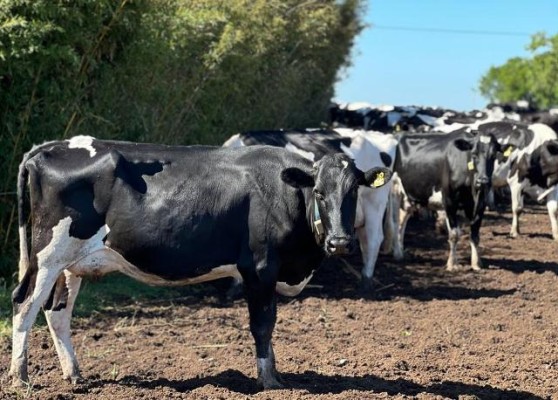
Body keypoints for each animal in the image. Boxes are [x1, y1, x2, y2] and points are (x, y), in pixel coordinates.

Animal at [392, 131, 506, 272]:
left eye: (493, 155)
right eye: (474, 154)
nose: (483, 180)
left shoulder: (480, 204)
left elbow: (475, 235)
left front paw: (476, 263)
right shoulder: (449, 201)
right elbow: (454, 234)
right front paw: (452, 264)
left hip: (409, 197)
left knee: (402, 221)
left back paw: (401, 253)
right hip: (394, 192)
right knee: (395, 222)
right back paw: (397, 253)